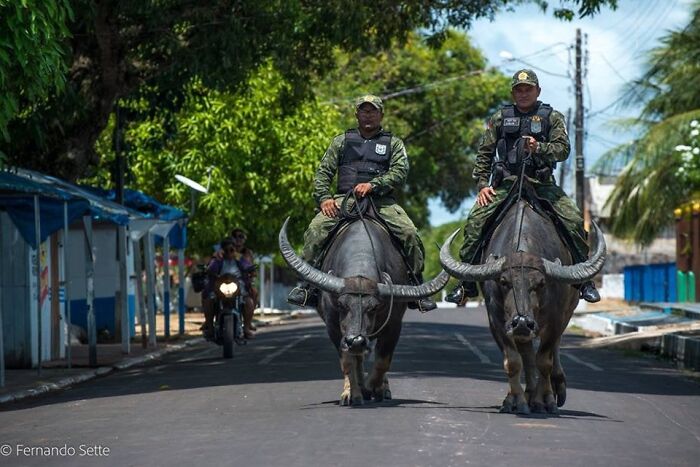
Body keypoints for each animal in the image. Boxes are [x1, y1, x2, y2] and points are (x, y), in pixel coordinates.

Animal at [278, 218, 448, 406]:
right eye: (341, 304)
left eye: (373, 307)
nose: (356, 340)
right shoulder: (334, 328)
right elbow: (347, 362)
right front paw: (354, 393)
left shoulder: (394, 325)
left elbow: (382, 361)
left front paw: (370, 388)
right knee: (357, 358)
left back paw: (381, 389)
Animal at [440, 199, 604, 414]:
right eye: (503, 281)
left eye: (541, 283)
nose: (522, 322)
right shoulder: (498, 321)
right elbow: (513, 361)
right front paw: (515, 400)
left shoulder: (556, 318)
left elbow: (544, 361)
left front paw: (546, 400)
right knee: (527, 355)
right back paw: (529, 394)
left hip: (568, 310)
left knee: (553, 348)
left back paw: (554, 387)